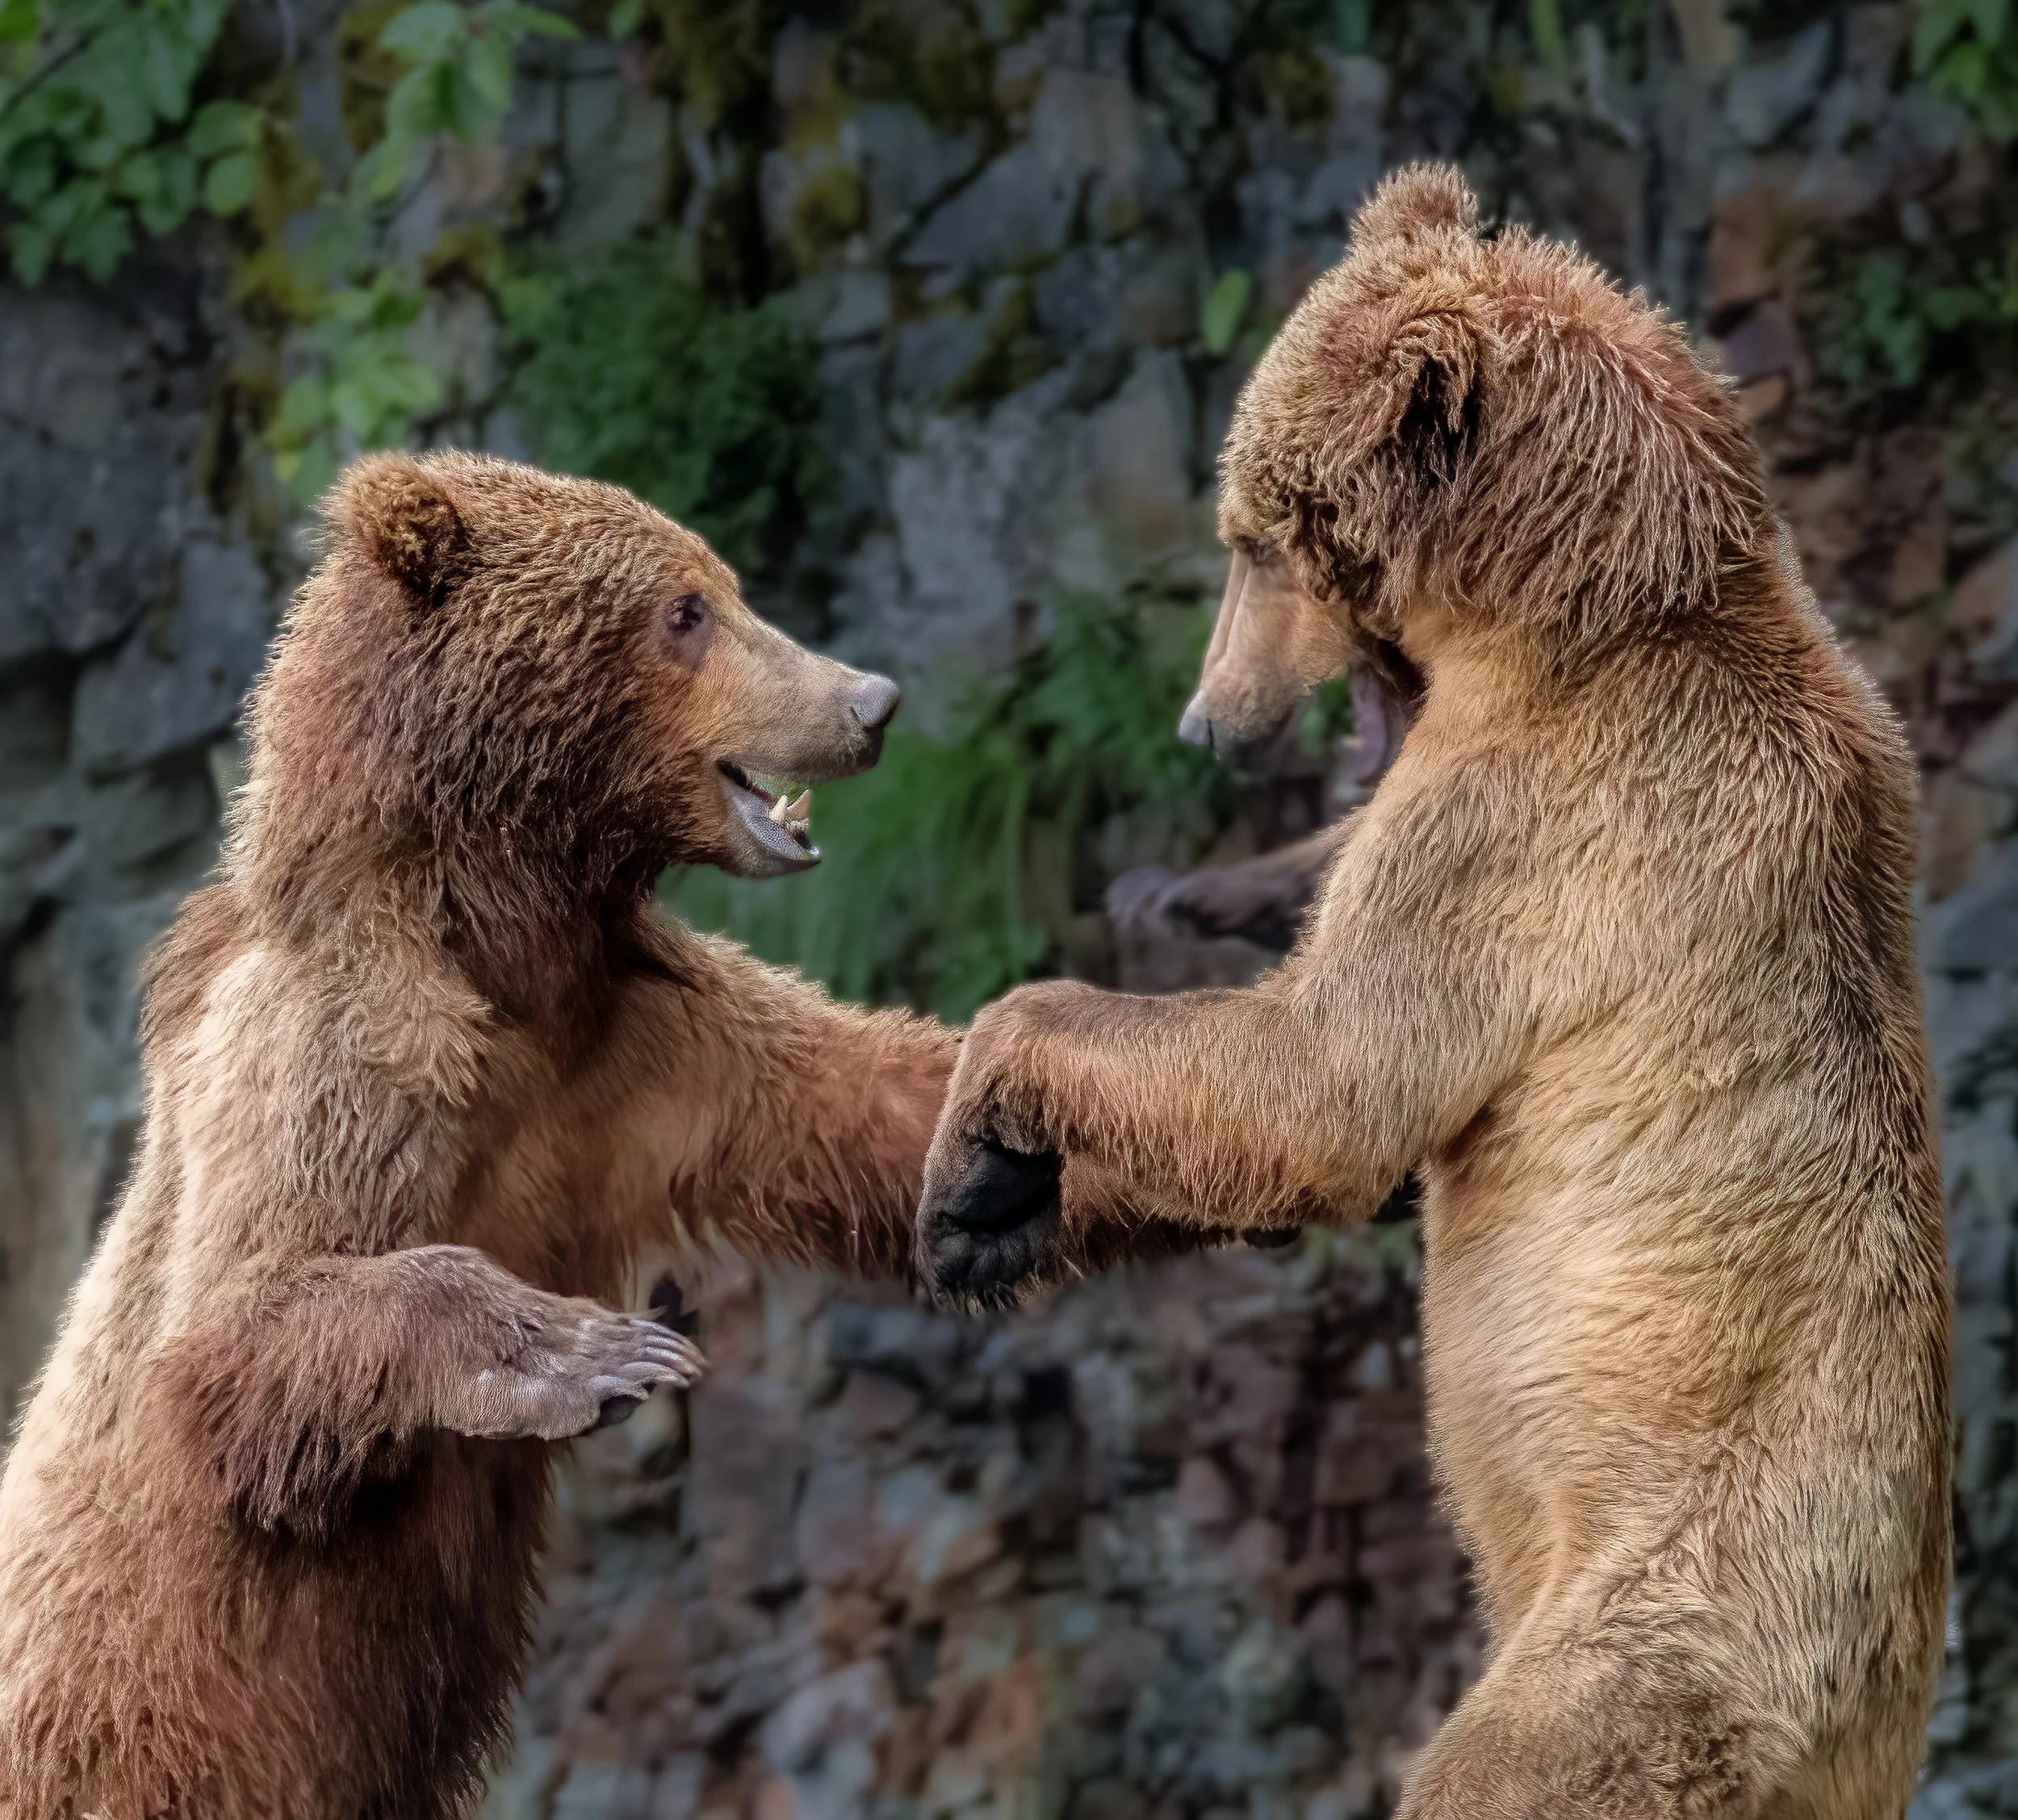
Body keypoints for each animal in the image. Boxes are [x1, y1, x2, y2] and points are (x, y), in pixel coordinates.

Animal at [0, 452, 963, 1820]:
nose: (868, 700)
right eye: (685, 609)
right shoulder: (339, 1051)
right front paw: (594, 1349)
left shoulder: (648, 1049)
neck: (502, 934)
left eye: (723, 582)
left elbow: (882, 1106)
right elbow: (230, 1337)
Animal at [915, 165, 1951, 1819]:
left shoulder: (1531, 831)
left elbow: (1323, 1085)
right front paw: (1181, 900)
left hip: (1666, 1619)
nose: (1206, 727)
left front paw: (977, 1174)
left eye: (1256, 539)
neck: (1582, 612)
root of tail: (1863, 1699)